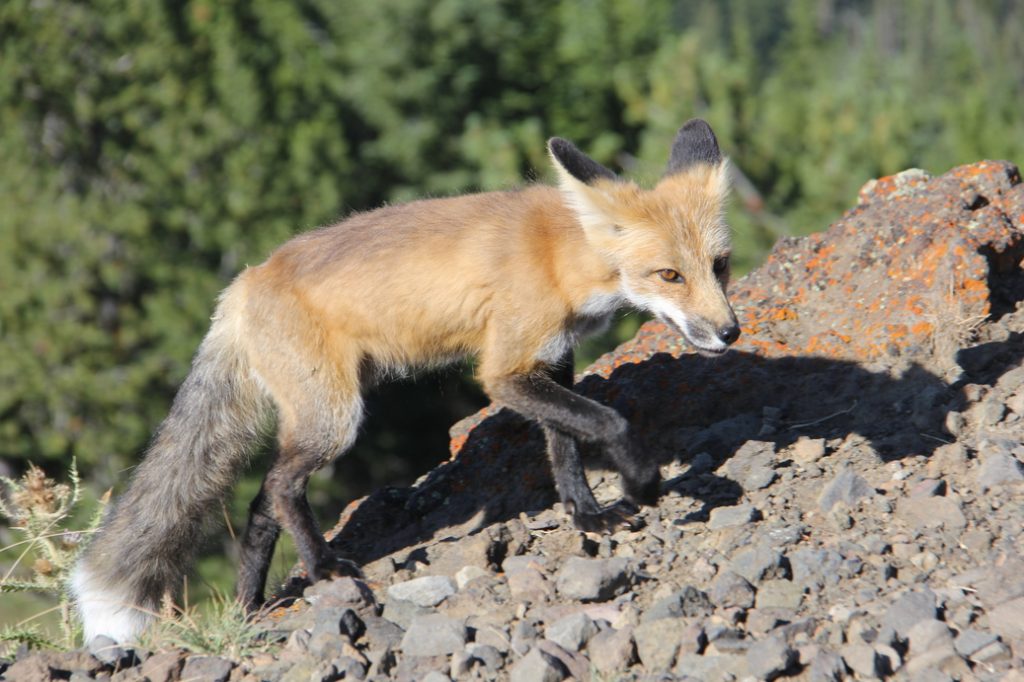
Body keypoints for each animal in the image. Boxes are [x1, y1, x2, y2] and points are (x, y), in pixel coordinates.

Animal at [74, 118, 745, 643]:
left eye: (719, 266)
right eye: (669, 275)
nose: (730, 333)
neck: (561, 259)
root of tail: (241, 283)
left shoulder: (552, 360)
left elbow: (566, 446)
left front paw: (587, 515)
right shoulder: (504, 373)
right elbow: (607, 422)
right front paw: (641, 483)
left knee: (260, 505)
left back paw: (250, 606)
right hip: (336, 420)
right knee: (279, 489)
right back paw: (324, 569)